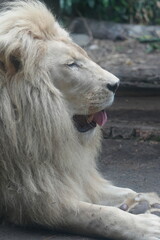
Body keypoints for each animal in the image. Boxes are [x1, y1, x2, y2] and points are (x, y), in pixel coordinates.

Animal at [0, 0, 160, 239]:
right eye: (72, 64)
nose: (117, 84)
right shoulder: (33, 198)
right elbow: (101, 215)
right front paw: (147, 225)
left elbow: (120, 191)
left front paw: (145, 201)